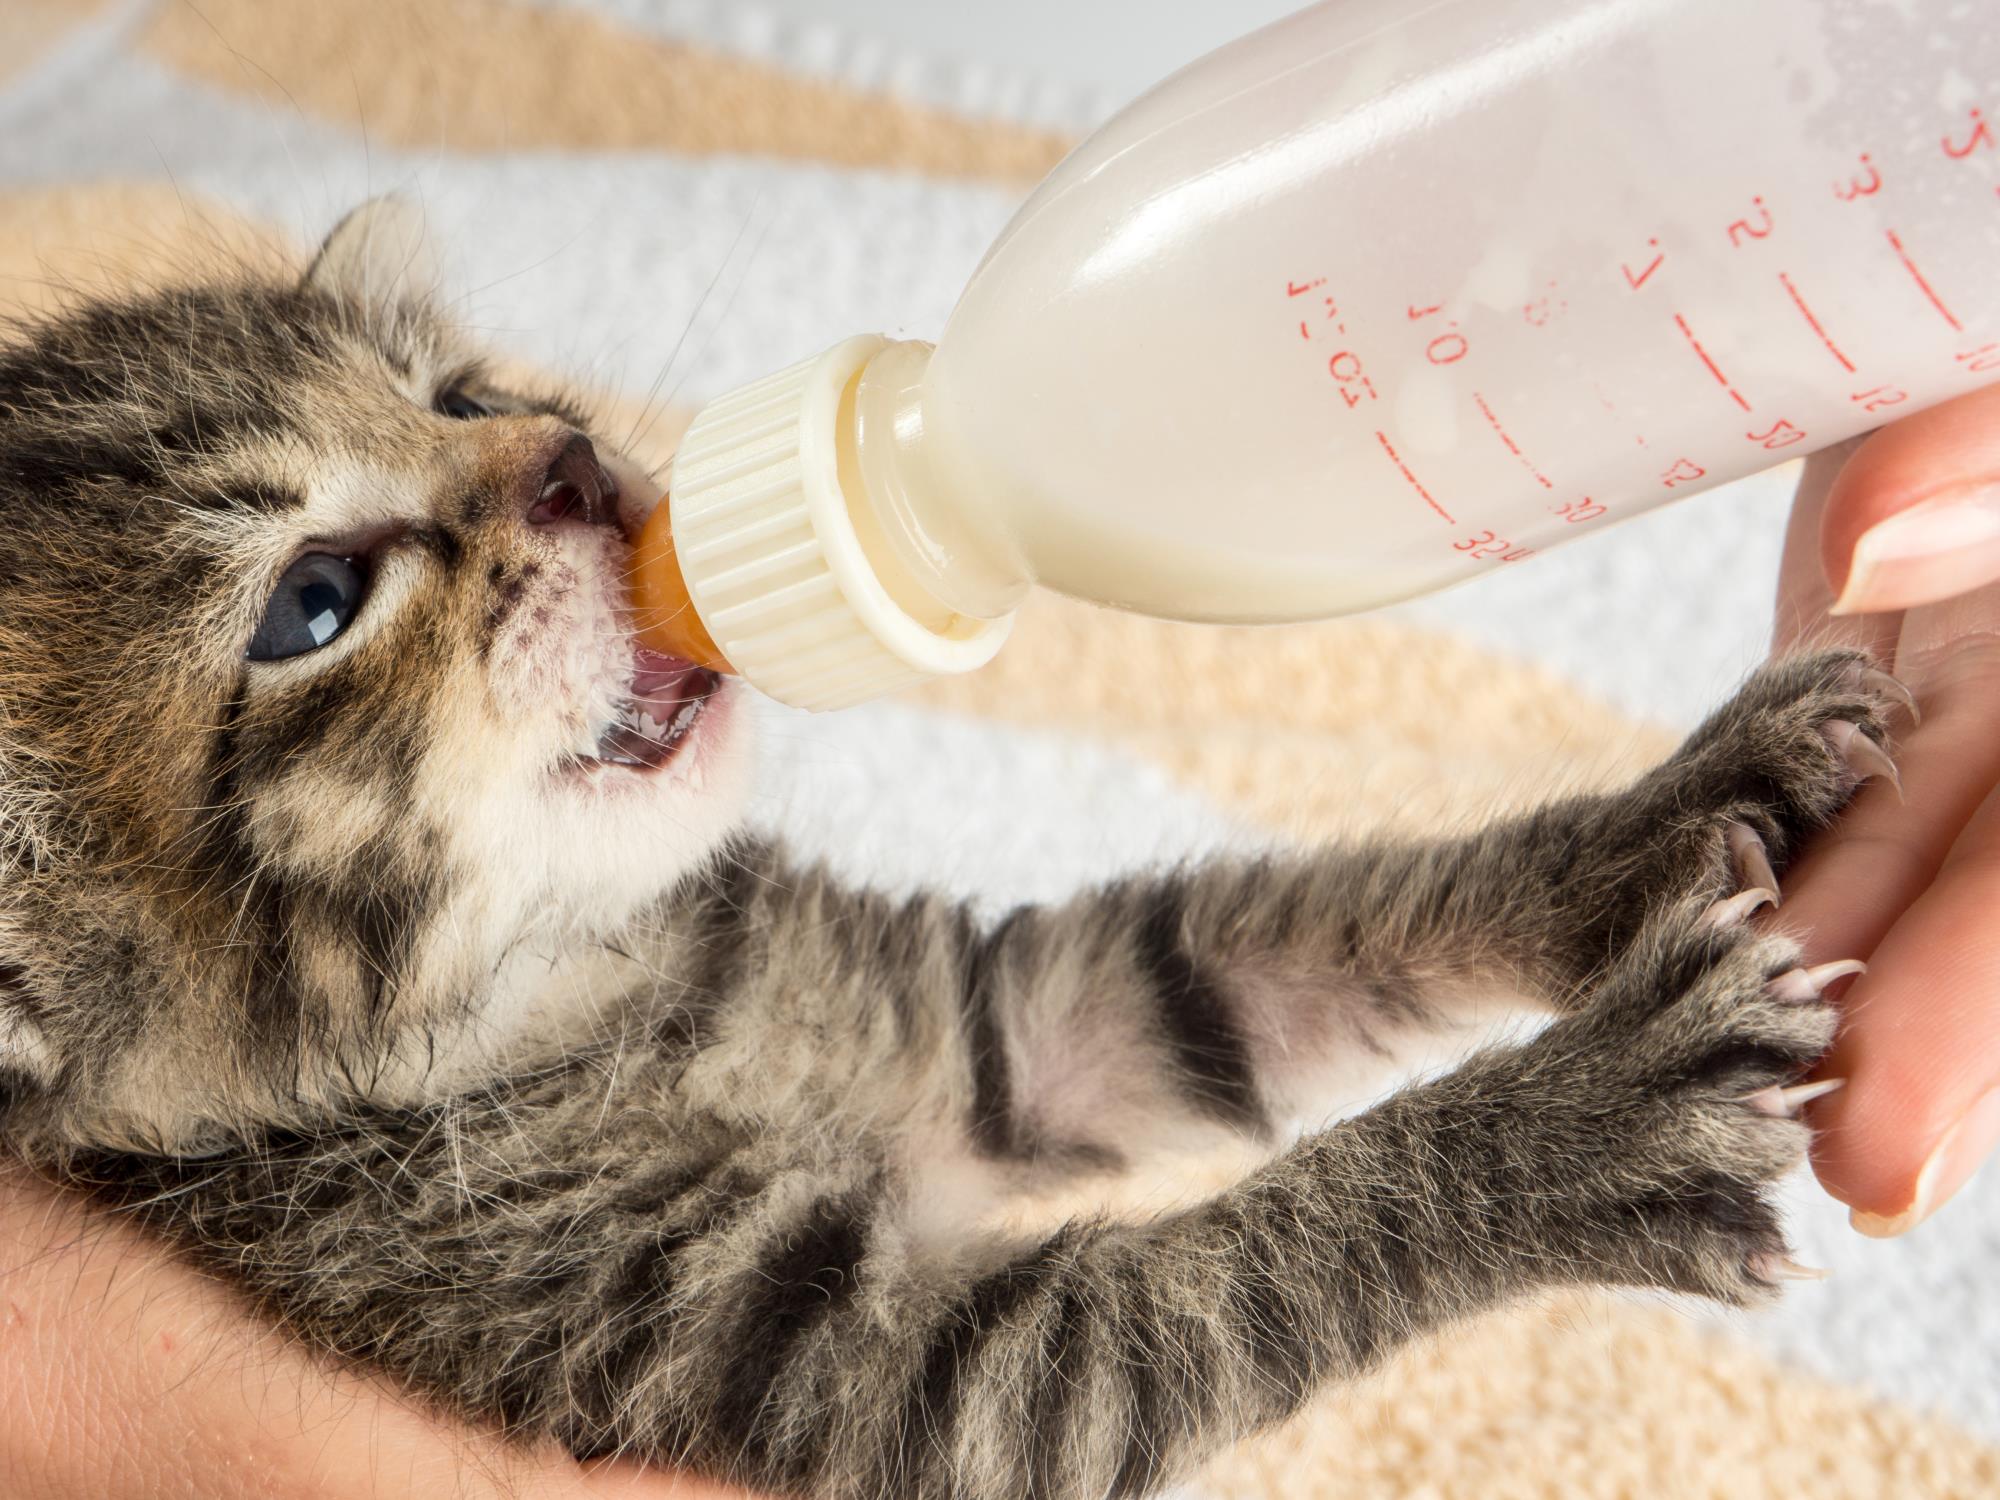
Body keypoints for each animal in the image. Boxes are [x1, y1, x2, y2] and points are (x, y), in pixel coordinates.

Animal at [0, 200, 1896, 1500]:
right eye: (311, 605)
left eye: (462, 392)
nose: (578, 464)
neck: (607, 994)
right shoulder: (819, 1361)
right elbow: (1206, 1288)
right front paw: (1582, 1127)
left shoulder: (996, 1023)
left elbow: (1254, 955)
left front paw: (1657, 822)